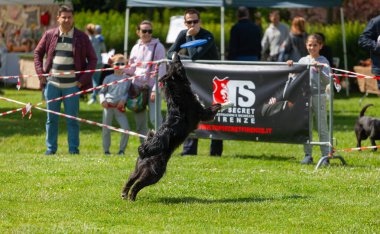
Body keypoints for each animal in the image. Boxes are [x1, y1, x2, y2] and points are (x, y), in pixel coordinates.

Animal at [121, 53, 221, 201]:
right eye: (177, 65)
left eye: (173, 64)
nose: (176, 54)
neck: (177, 91)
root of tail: (145, 150)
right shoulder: (202, 113)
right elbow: (215, 107)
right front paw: (226, 103)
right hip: (154, 173)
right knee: (137, 184)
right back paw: (132, 198)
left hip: (138, 168)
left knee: (130, 179)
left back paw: (124, 194)